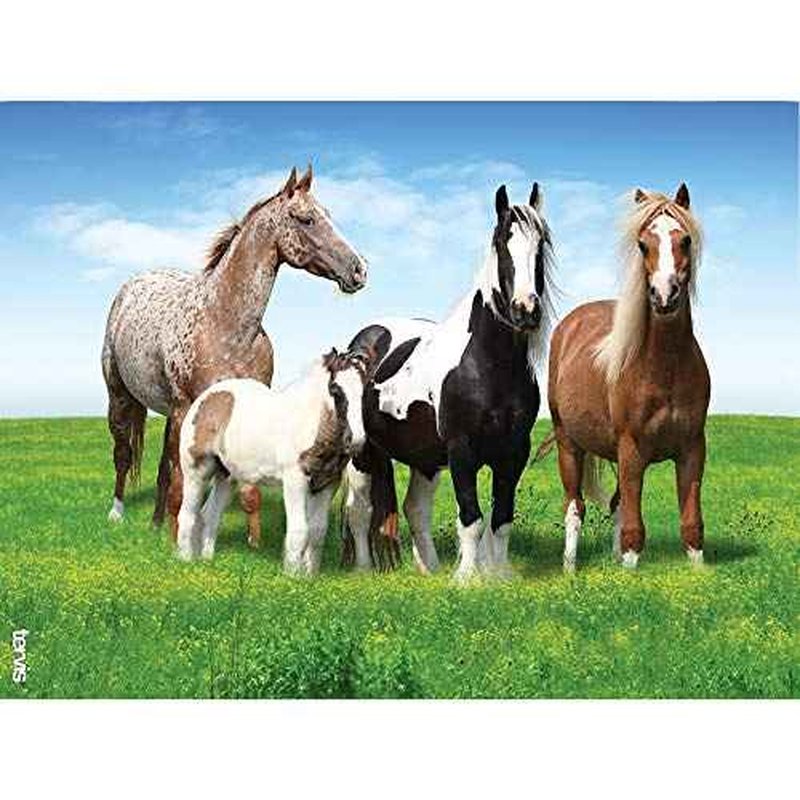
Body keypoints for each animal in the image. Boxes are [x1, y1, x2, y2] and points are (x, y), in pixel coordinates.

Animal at [101, 165, 367, 545]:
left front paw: (252, 541)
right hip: (121, 397)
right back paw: (118, 513)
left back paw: (156, 523)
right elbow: (182, 480)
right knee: (124, 455)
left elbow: (243, 486)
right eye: (307, 219)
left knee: (164, 467)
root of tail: (131, 287)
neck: (224, 322)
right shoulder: (184, 408)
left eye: (327, 215)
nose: (359, 270)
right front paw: (180, 540)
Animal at [176, 348, 368, 572]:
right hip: (196, 472)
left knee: (210, 514)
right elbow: (299, 530)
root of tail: (204, 399)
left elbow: (317, 530)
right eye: (336, 390)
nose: (356, 440)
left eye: (367, 390)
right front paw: (292, 575)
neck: (311, 421)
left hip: (226, 477)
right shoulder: (295, 480)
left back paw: (207, 561)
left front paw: (309, 574)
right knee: (187, 515)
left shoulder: (327, 484)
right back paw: (186, 560)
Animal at [342, 182, 556, 580]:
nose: (526, 310)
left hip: (424, 460)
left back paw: (429, 570)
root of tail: (366, 337)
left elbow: (501, 519)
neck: (487, 365)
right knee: (359, 511)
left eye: (542, 244)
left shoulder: (514, 452)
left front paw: (500, 576)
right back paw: (363, 570)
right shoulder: (461, 450)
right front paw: (467, 579)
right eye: (502, 242)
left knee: (414, 510)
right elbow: (472, 518)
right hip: (364, 454)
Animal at [545, 183, 709, 570]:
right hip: (568, 443)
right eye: (642, 244)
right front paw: (630, 571)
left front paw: (699, 571)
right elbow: (634, 525)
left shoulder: (693, 448)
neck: (665, 367)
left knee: (617, 505)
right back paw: (570, 566)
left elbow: (690, 522)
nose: (664, 296)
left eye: (685, 240)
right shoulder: (632, 449)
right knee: (574, 506)